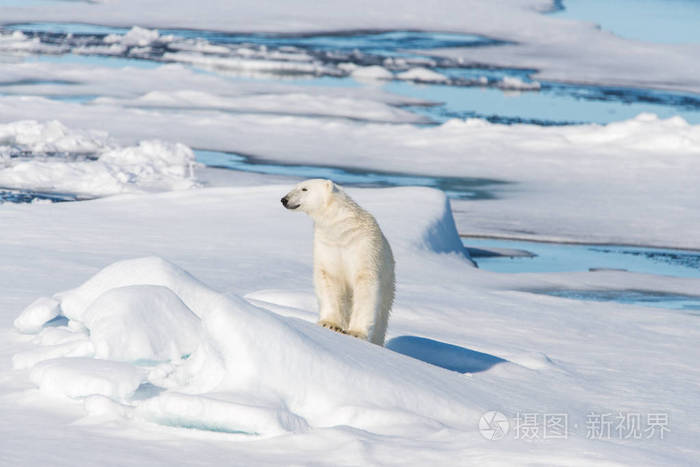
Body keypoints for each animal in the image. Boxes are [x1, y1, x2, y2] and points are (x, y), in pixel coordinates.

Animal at [281, 179, 395, 346]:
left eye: (304, 189)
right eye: (294, 186)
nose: (284, 199)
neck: (340, 229)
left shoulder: (364, 246)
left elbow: (365, 282)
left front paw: (356, 333)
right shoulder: (327, 245)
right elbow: (330, 279)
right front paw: (330, 324)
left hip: (388, 292)